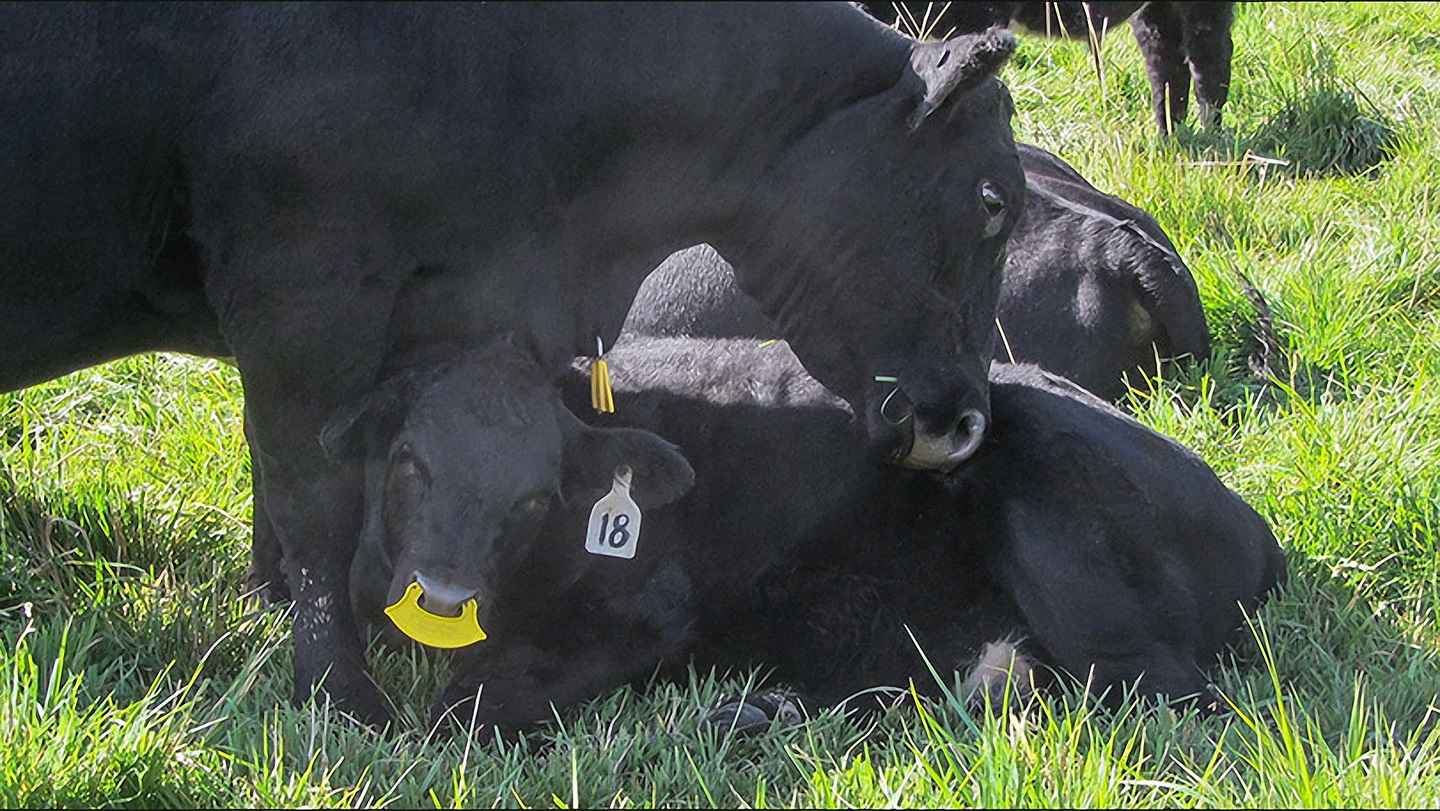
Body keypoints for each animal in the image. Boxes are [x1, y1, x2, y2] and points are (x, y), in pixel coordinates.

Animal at [0, 4, 1025, 723]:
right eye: (992, 200)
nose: (967, 419)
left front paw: (280, 604)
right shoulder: (300, 286)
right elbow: (311, 497)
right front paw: (338, 690)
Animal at [343, 336, 1285, 739]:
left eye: (537, 497)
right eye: (408, 459)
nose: (443, 598)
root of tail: (1258, 528)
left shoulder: (648, 611)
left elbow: (461, 708)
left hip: (1064, 532)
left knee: (1169, 701)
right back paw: (766, 707)